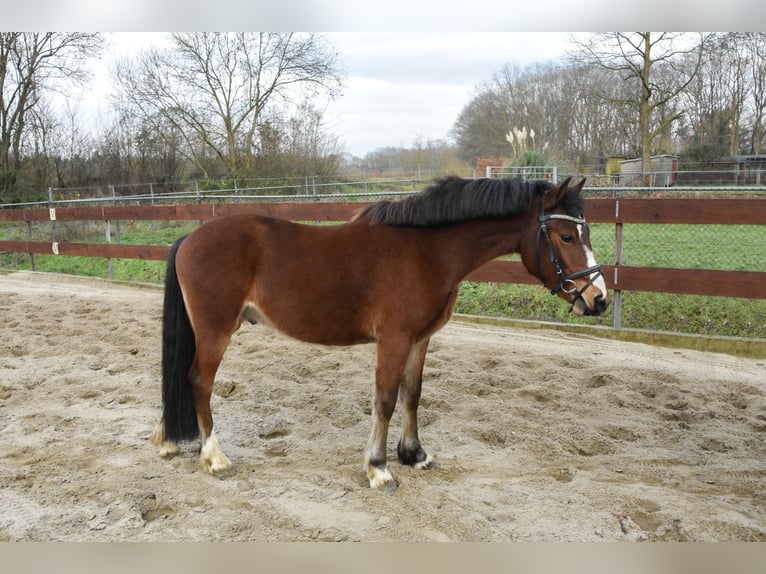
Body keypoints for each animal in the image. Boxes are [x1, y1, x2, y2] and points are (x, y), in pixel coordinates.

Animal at [151, 176, 609, 492]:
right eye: (566, 235)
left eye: (585, 232)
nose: (599, 298)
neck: (426, 252)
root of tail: (189, 237)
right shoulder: (394, 339)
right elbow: (385, 400)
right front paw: (379, 468)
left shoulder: (420, 339)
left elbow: (413, 394)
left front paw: (415, 454)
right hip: (215, 331)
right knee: (198, 381)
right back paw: (214, 457)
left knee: (180, 378)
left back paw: (168, 442)